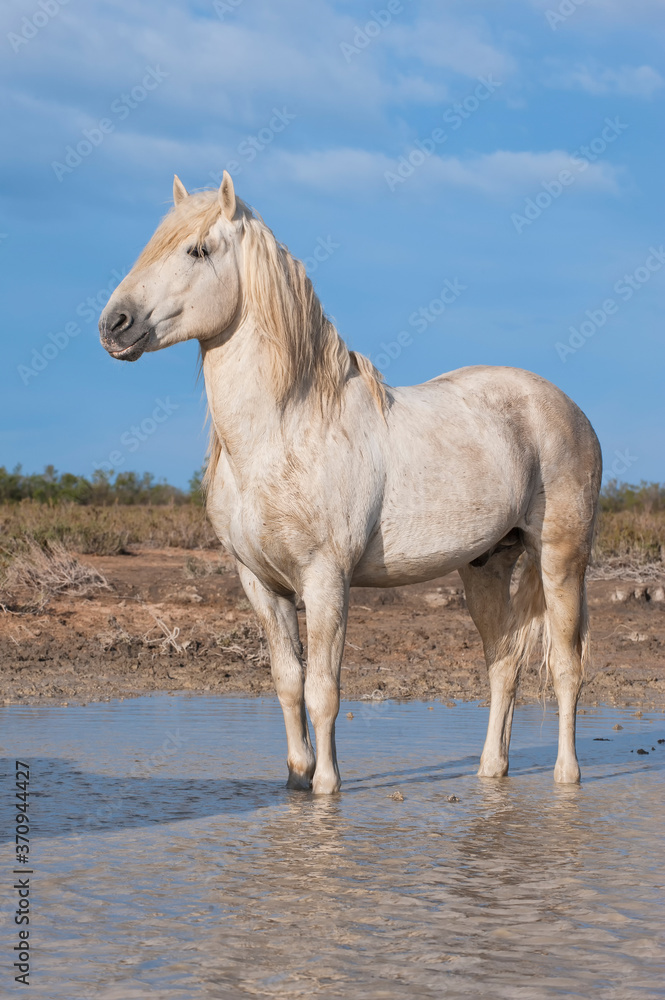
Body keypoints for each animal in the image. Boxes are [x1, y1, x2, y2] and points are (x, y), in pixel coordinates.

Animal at [99, 172, 602, 794]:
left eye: (197, 250)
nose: (114, 325)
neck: (283, 431)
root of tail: (566, 407)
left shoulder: (325, 580)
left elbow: (323, 690)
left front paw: (326, 788)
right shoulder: (260, 584)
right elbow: (288, 681)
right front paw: (297, 778)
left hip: (562, 558)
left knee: (565, 665)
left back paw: (566, 776)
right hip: (486, 564)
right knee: (503, 663)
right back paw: (490, 772)